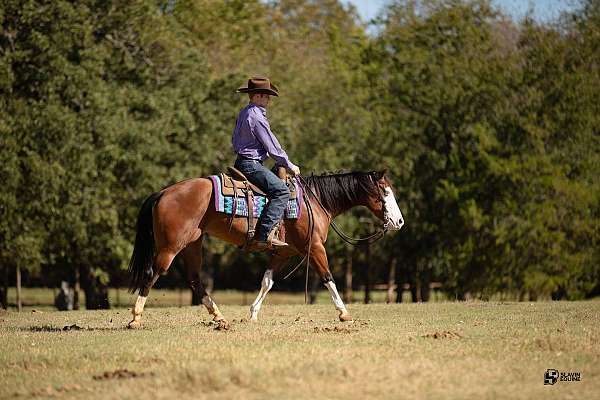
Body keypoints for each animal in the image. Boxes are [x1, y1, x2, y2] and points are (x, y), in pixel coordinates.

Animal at [128, 169, 406, 328]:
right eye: (385, 192)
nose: (399, 222)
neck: (315, 200)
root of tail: (163, 192)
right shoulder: (315, 247)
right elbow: (328, 277)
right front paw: (344, 313)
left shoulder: (282, 252)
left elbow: (267, 282)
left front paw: (252, 314)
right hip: (170, 247)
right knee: (151, 274)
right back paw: (135, 317)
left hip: (192, 244)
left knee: (195, 280)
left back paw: (219, 317)